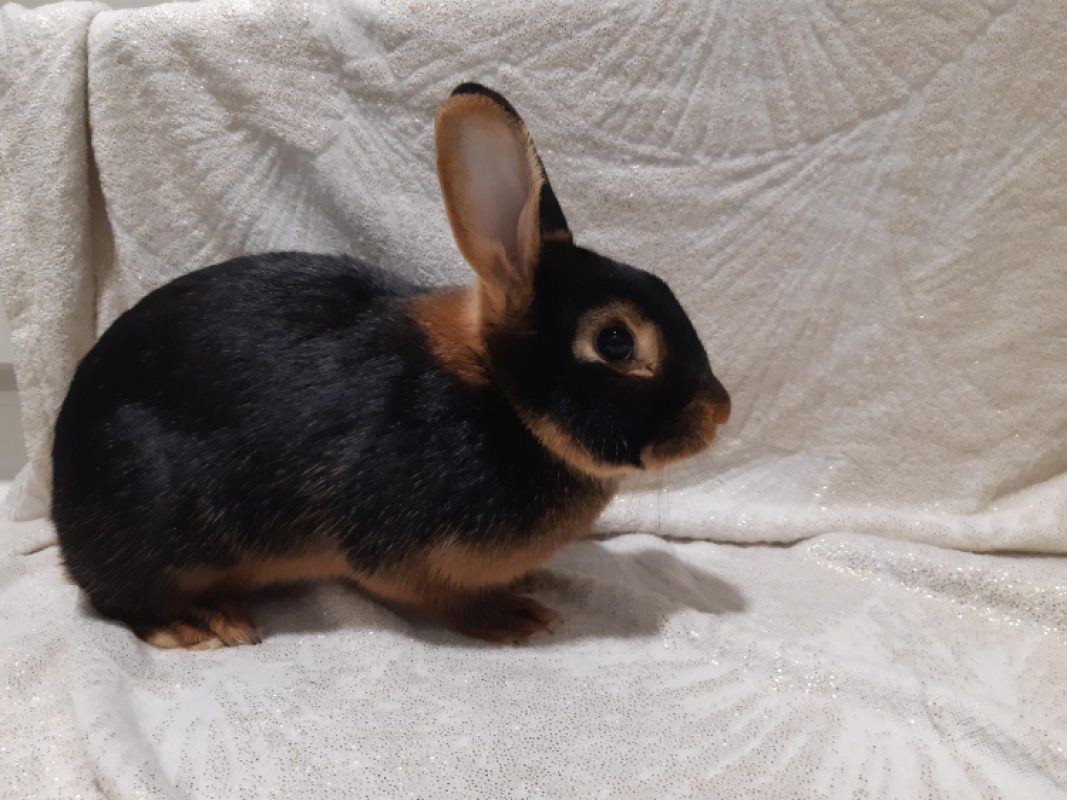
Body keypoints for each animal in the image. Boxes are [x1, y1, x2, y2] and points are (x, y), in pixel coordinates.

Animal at [51, 83, 731, 649]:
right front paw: (512, 617)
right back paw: (199, 623)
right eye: (616, 341)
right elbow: (438, 597)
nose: (718, 412)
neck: (503, 398)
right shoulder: (395, 550)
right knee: (121, 600)